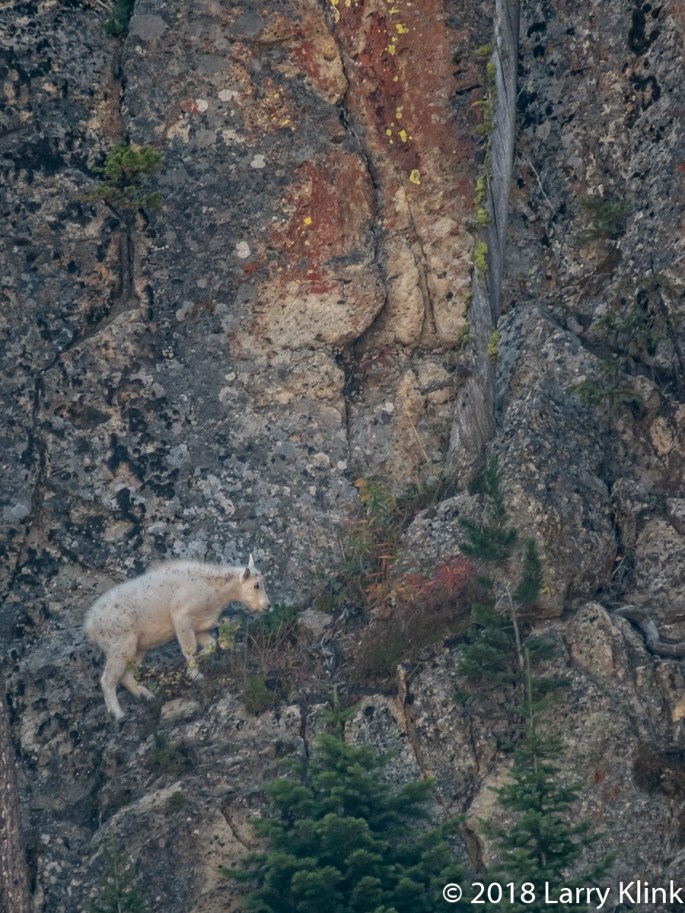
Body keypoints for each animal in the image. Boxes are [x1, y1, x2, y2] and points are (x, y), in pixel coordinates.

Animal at [84, 556, 270, 720]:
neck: (213, 587)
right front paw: (195, 674)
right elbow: (190, 648)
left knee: (126, 675)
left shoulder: (199, 626)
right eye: (256, 585)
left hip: (137, 648)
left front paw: (197, 662)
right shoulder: (182, 618)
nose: (267, 606)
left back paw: (147, 696)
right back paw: (118, 714)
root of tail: (90, 627)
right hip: (119, 645)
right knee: (108, 680)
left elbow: (211, 644)